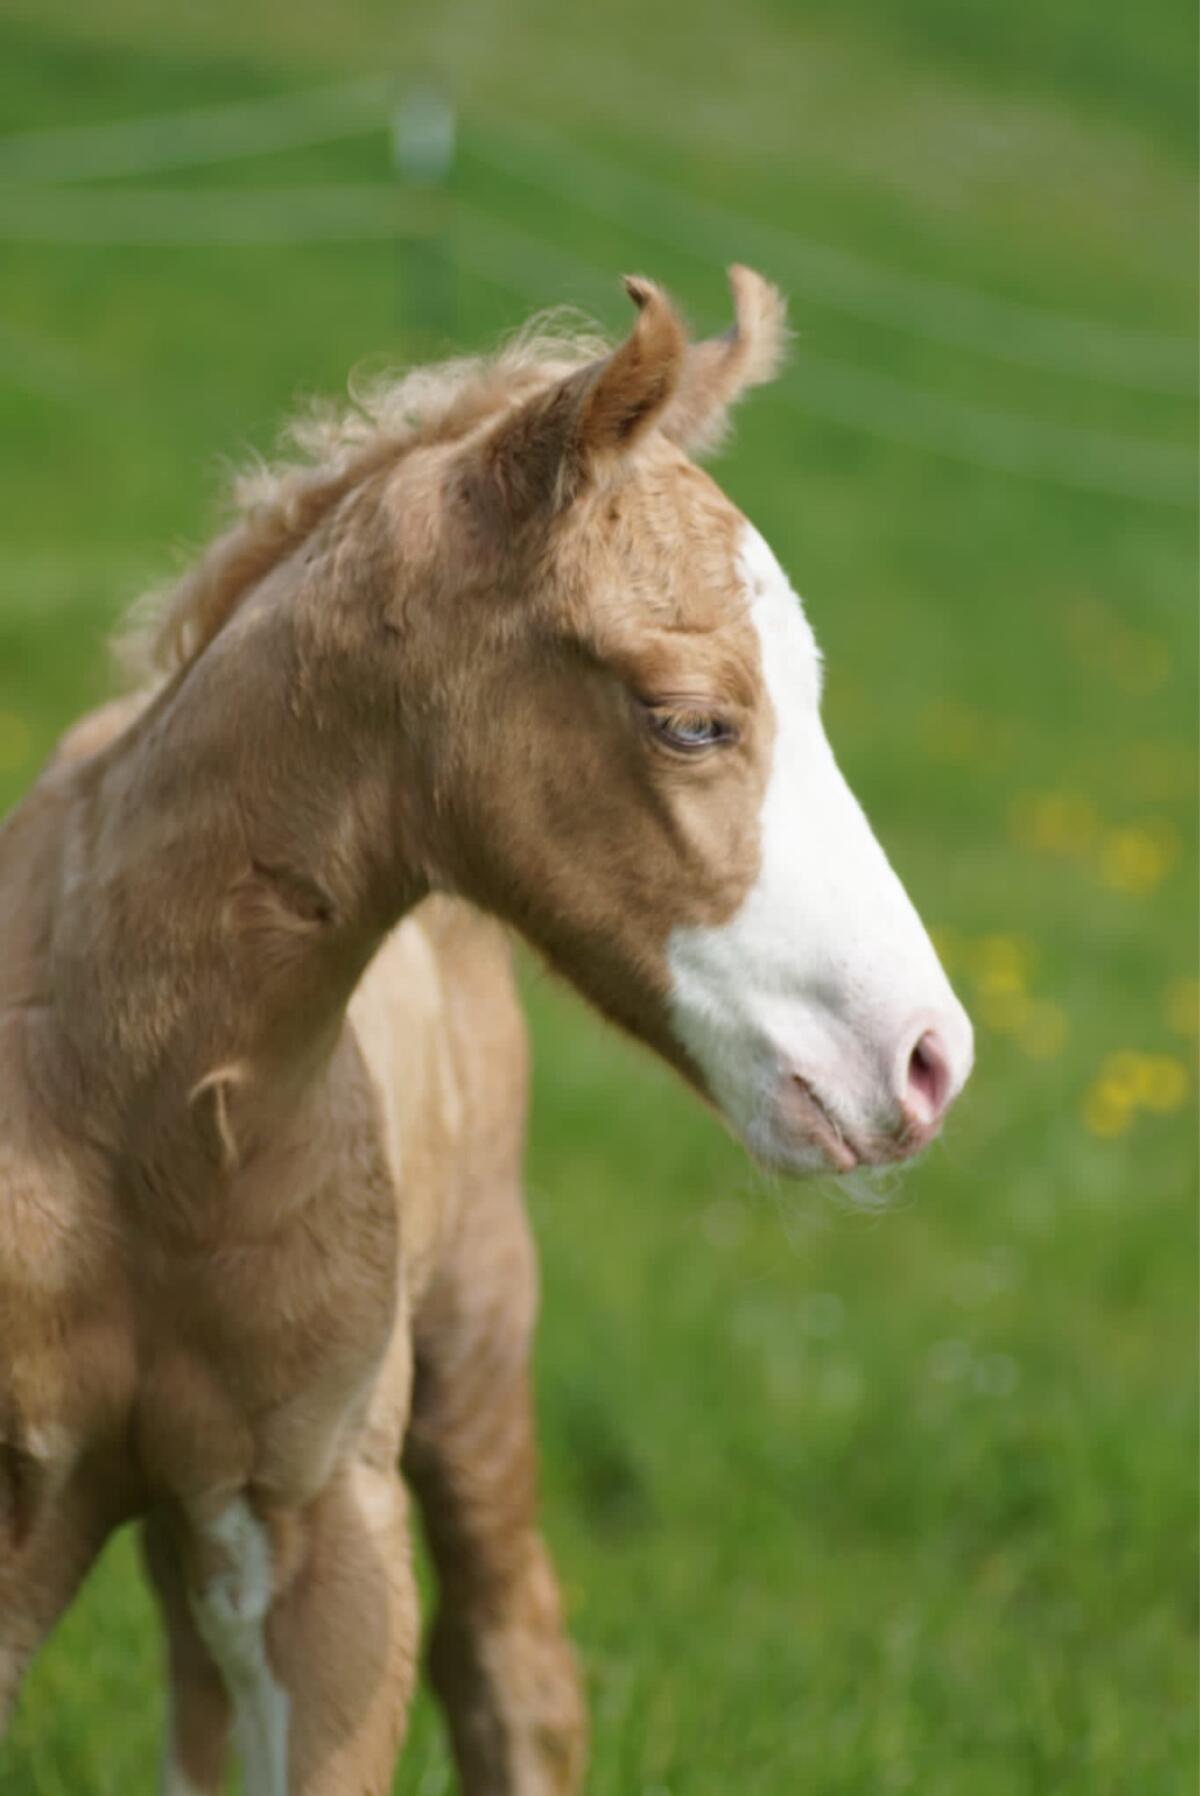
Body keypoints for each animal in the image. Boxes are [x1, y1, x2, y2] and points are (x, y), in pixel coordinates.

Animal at [0, 266, 972, 1794]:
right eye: (690, 721)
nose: (928, 1059)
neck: (142, 1110)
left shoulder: (324, 1536)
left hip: (477, 1342)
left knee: (512, 1667)